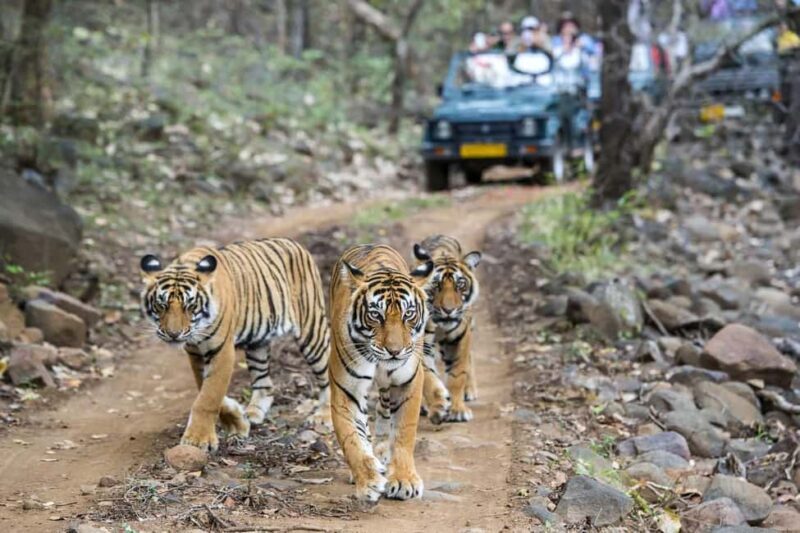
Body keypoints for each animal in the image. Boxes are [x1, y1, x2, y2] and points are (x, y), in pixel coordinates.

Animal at [139, 238, 331, 452]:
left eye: (190, 306)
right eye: (161, 305)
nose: (174, 334)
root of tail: (294, 243)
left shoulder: (222, 350)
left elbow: (209, 396)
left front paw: (198, 439)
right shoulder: (195, 353)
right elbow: (205, 389)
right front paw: (237, 421)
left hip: (312, 329)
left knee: (327, 374)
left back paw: (323, 415)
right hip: (257, 343)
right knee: (265, 383)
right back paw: (253, 413)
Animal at [328, 244, 433, 502]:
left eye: (408, 314)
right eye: (376, 315)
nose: (394, 351)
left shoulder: (408, 383)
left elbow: (404, 433)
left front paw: (404, 481)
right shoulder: (346, 389)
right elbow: (352, 439)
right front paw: (368, 481)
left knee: (385, 410)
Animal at [413, 235, 481, 424]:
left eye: (460, 285)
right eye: (436, 285)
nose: (449, 310)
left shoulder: (460, 338)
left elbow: (457, 374)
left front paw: (458, 410)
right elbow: (428, 376)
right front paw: (438, 406)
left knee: (470, 357)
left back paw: (470, 390)